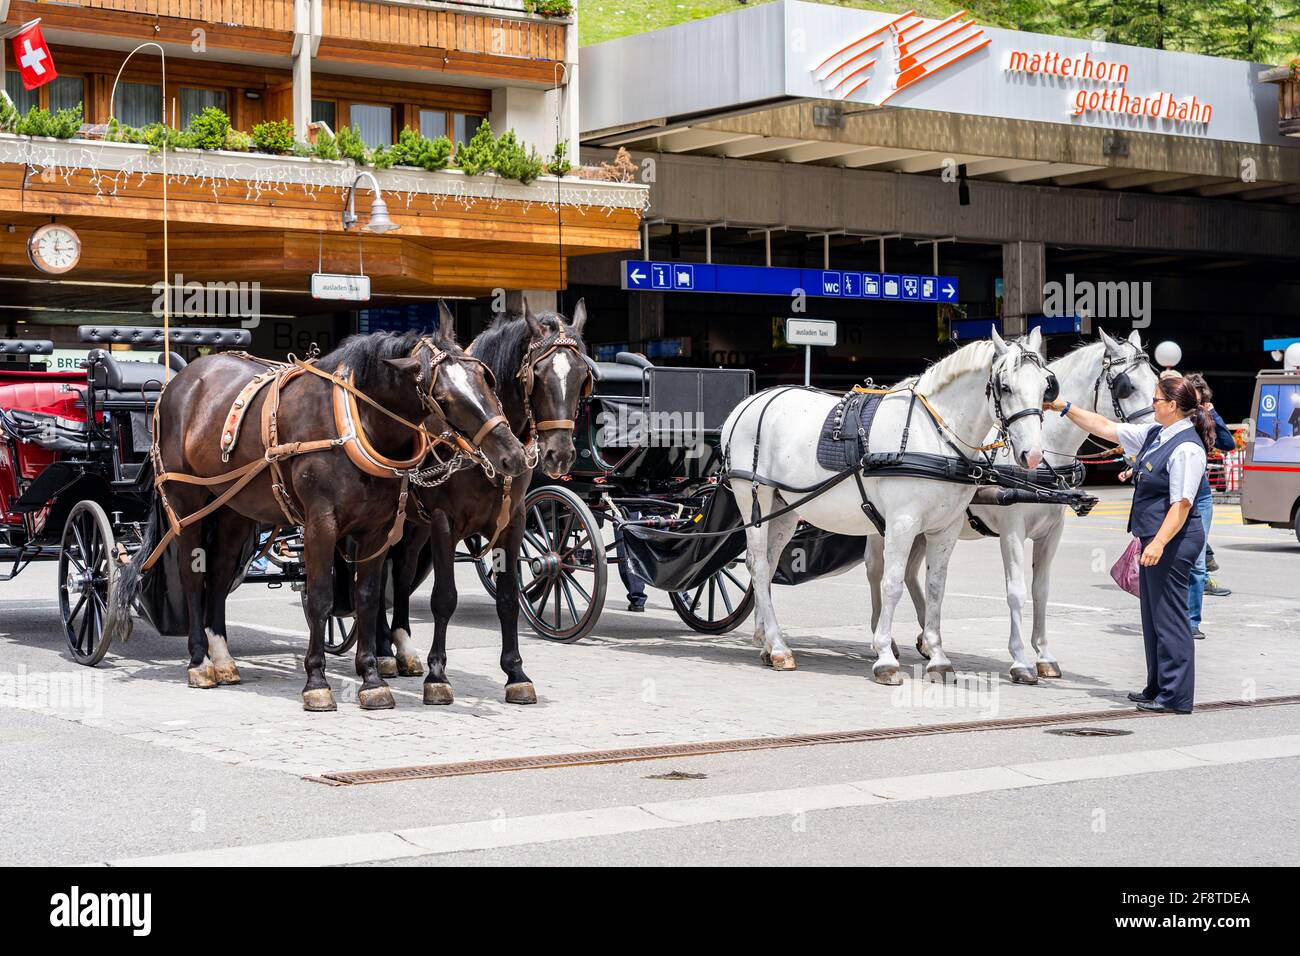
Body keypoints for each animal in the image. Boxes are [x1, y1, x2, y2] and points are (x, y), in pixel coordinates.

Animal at [106, 314, 522, 712]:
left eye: (486, 379)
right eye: (444, 397)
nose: (513, 455)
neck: (356, 423)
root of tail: (178, 382)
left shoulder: (376, 528)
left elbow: (367, 596)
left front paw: (372, 679)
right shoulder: (321, 523)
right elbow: (321, 597)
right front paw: (317, 682)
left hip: (232, 510)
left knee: (220, 575)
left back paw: (222, 657)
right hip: (185, 502)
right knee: (193, 578)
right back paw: (199, 662)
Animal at [374, 303, 592, 707]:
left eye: (583, 375)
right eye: (539, 374)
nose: (559, 454)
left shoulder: (513, 520)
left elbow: (508, 598)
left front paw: (516, 673)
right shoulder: (444, 521)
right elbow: (444, 598)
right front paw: (438, 675)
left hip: (414, 525)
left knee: (401, 572)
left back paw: (402, 648)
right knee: (377, 573)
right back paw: (381, 651)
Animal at [728, 330, 1050, 686]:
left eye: (1046, 386)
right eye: (1005, 387)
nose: (1033, 455)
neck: (932, 435)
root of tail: (748, 403)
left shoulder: (945, 529)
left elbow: (936, 587)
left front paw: (938, 657)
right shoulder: (902, 523)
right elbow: (892, 583)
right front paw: (884, 657)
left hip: (785, 508)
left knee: (769, 565)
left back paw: (767, 641)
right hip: (753, 497)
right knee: (757, 566)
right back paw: (778, 647)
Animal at [873, 329, 1159, 681]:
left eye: (1156, 382)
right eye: (1125, 387)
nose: (1154, 435)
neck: (1045, 450)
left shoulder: (1052, 532)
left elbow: (1041, 591)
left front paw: (1044, 655)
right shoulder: (1012, 530)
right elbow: (1017, 592)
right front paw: (1021, 659)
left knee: (912, 575)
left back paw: (926, 642)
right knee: (878, 574)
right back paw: (884, 644)